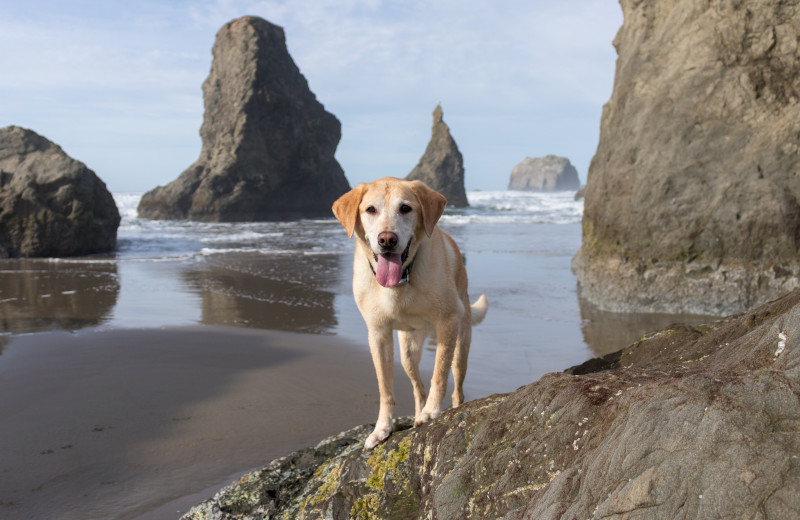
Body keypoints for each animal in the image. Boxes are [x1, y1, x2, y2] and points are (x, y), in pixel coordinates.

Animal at [332, 177, 488, 448]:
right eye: (370, 209)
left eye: (405, 208)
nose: (387, 240)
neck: (402, 278)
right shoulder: (378, 334)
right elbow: (385, 388)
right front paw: (382, 429)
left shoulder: (447, 322)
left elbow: (439, 375)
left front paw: (432, 412)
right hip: (408, 353)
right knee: (417, 387)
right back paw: (417, 411)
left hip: (461, 344)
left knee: (457, 386)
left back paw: (447, 407)